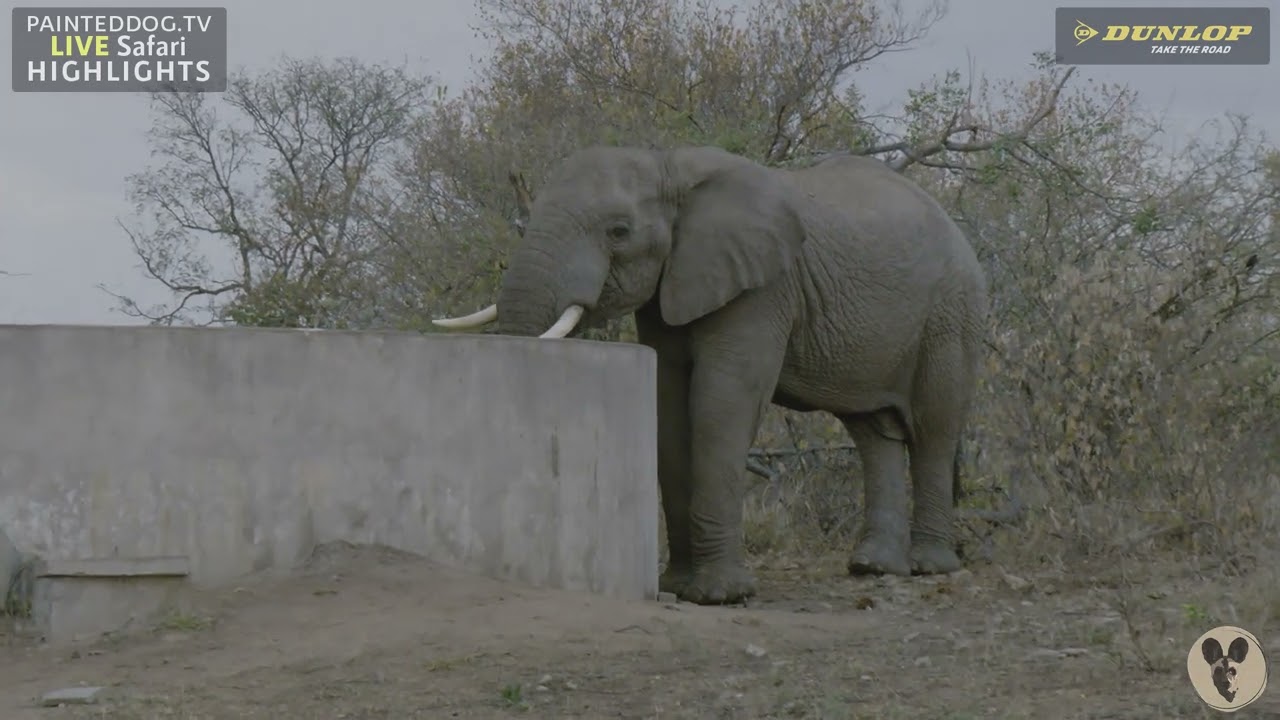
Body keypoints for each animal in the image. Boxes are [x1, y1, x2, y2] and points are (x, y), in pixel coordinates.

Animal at [434, 145, 988, 605]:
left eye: (619, 231)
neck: (669, 168)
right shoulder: (672, 284)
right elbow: (668, 403)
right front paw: (678, 587)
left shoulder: (763, 286)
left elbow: (721, 402)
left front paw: (721, 595)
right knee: (873, 431)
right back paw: (873, 568)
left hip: (951, 311)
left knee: (935, 427)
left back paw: (928, 567)